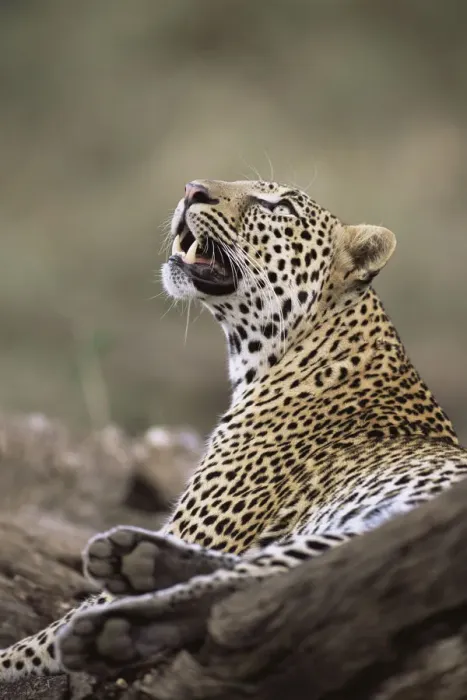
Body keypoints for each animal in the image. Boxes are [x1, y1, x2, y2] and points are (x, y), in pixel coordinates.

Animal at [1, 178, 467, 683]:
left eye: (278, 206)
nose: (192, 189)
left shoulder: (201, 529)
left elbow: (42, 640)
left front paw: (10, 657)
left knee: (260, 587)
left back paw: (116, 622)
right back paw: (135, 562)